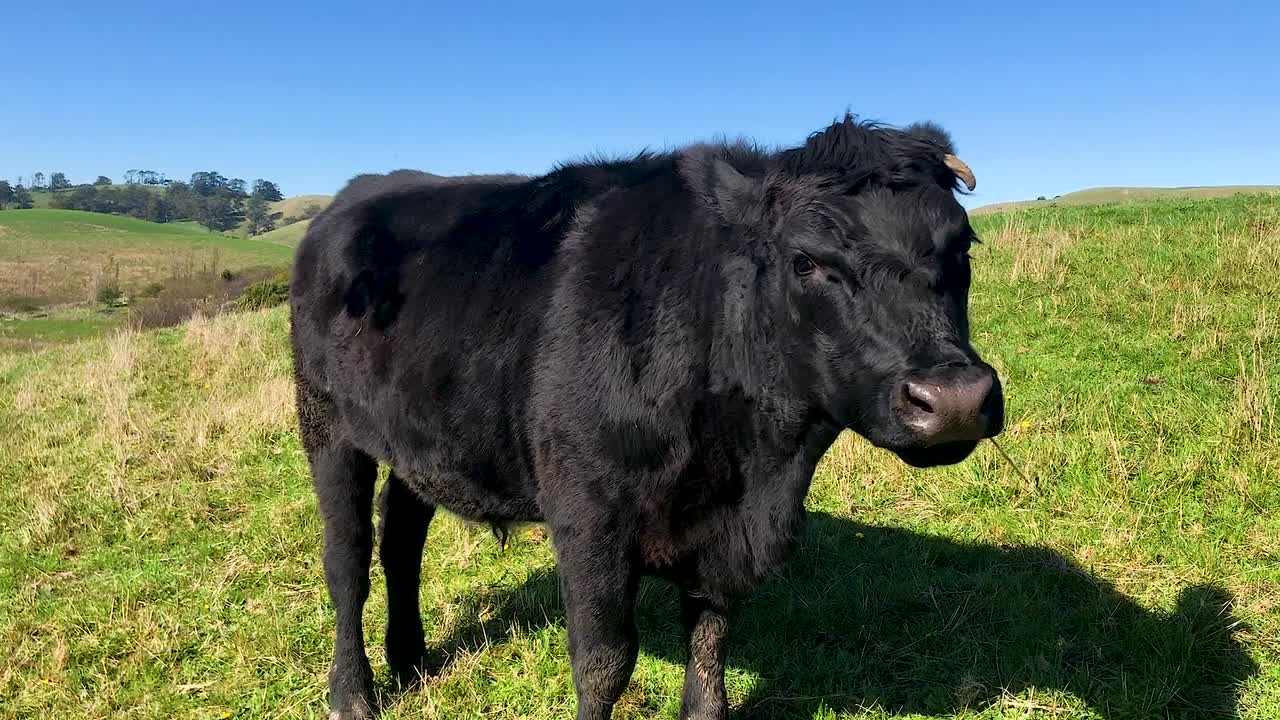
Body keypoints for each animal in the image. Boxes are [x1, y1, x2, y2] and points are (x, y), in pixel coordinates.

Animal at [289, 114, 1004, 720]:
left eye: (962, 248)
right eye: (807, 260)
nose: (955, 399)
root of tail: (358, 193)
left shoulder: (722, 532)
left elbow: (711, 647)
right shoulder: (587, 516)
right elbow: (604, 662)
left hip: (418, 440)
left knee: (401, 538)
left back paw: (410, 661)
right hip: (326, 425)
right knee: (347, 560)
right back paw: (353, 695)